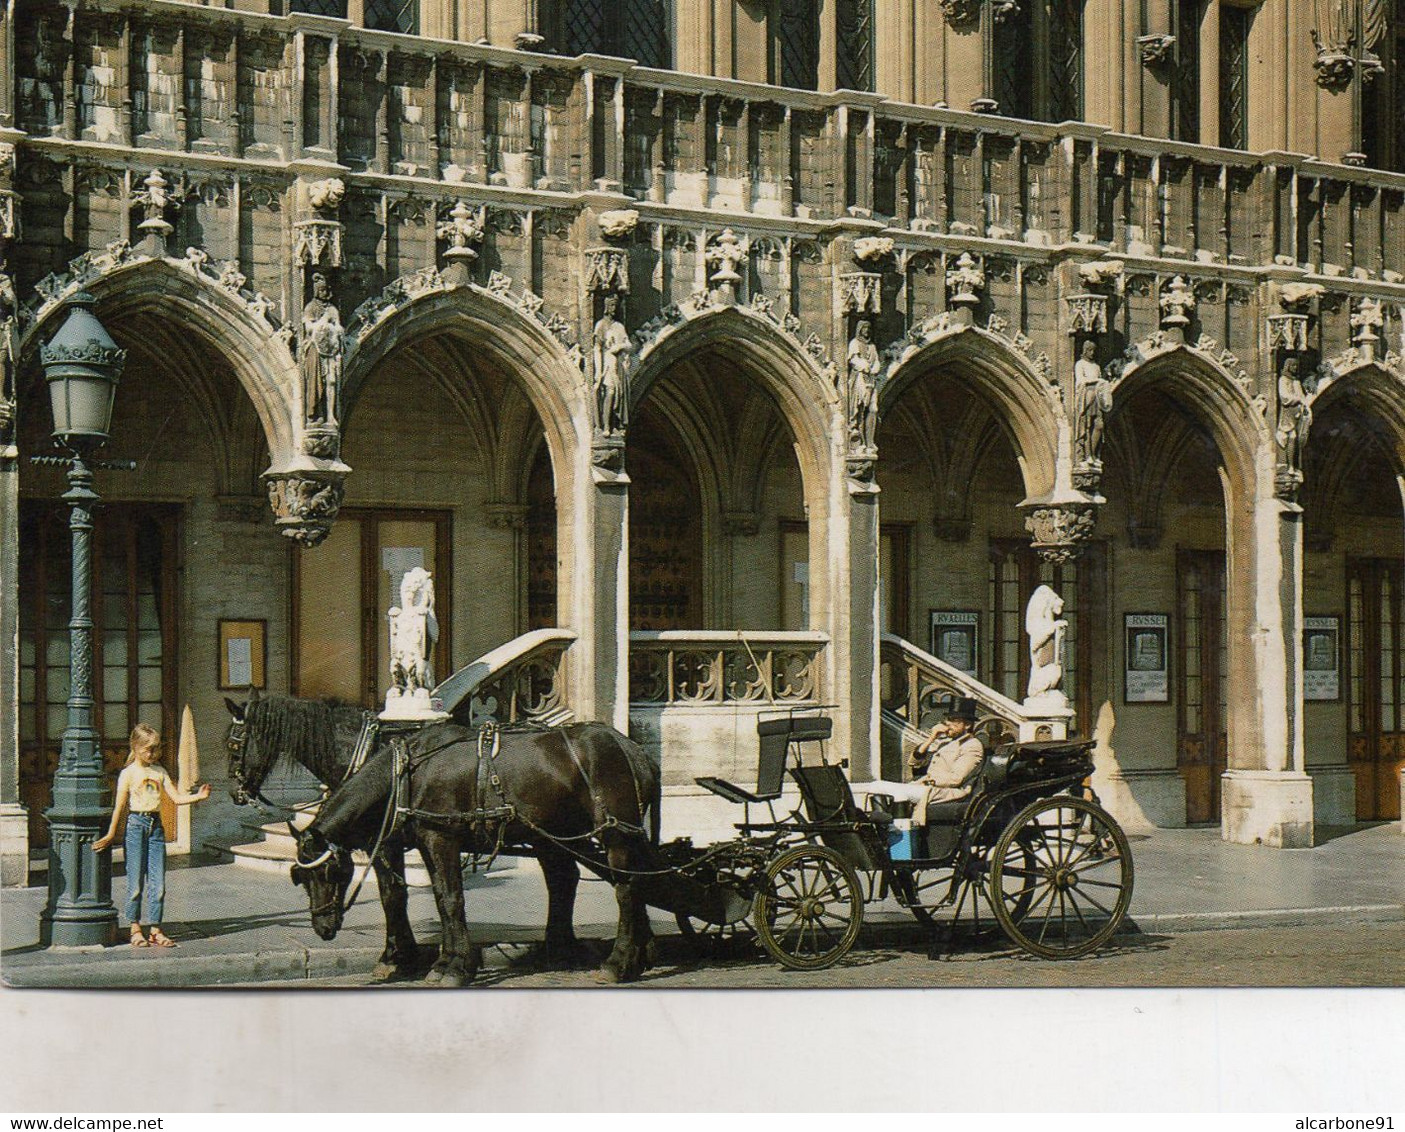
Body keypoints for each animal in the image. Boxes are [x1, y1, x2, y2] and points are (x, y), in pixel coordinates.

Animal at [288, 724, 660, 988]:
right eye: (302, 879)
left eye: (331, 873)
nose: (322, 927)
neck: (408, 773)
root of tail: (633, 749)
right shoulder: (427, 842)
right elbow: (439, 899)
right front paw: (445, 962)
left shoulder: (443, 839)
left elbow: (452, 899)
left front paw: (454, 967)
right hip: (561, 833)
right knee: (579, 882)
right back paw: (619, 955)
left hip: (616, 835)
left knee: (626, 890)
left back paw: (618, 962)